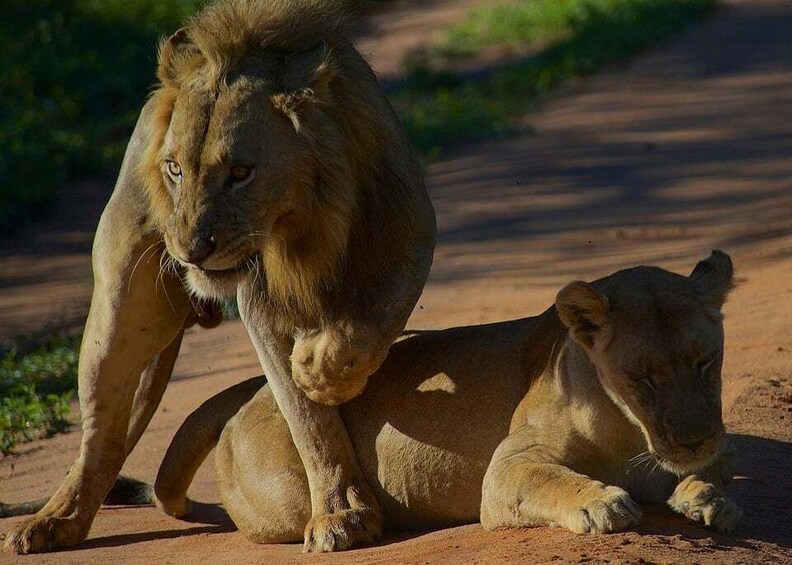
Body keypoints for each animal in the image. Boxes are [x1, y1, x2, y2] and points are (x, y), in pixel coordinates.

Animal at [4, 0, 435, 554]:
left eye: (240, 173)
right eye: (174, 169)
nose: (191, 252)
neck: (308, 229)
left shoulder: (410, 235)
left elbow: (374, 322)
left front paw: (322, 368)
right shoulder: (259, 301)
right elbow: (306, 421)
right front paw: (341, 514)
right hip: (119, 307)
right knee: (100, 437)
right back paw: (53, 522)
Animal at [112, 251, 741, 541]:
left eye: (705, 362)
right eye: (643, 377)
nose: (694, 438)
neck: (630, 429)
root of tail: (253, 387)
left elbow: (709, 472)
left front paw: (708, 497)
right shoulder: (507, 470)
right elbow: (551, 479)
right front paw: (602, 502)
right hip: (289, 494)